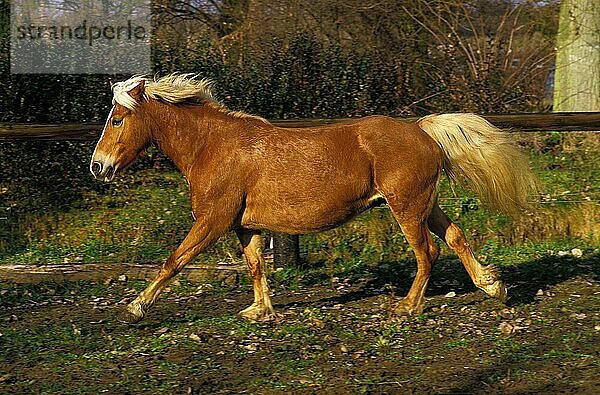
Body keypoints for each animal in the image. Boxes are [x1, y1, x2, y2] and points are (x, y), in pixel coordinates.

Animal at [92, 74, 536, 324]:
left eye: (117, 119)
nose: (98, 167)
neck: (211, 147)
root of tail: (422, 129)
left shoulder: (213, 221)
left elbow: (174, 261)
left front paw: (136, 307)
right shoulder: (244, 226)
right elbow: (256, 266)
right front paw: (260, 311)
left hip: (406, 207)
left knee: (428, 252)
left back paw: (407, 307)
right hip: (424, 204)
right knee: (456, 237)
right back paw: (493, 287)